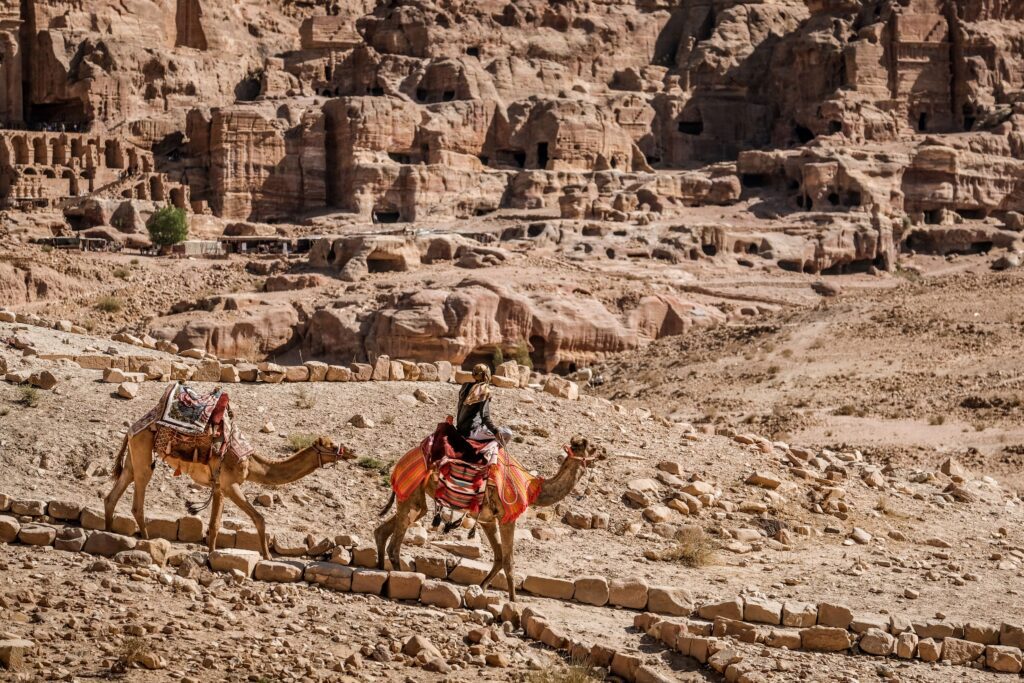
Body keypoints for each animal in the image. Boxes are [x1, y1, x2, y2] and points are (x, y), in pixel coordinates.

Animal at [104, 428, 352, 561]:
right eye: (331, 445)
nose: (350, 450)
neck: (252, 463)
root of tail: (132, 429)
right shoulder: (230, 484)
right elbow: (259, 518)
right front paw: (268, 556)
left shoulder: (218, 487)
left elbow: (214, 524)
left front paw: (212, 553)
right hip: (143, 452)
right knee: (138, 498)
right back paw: (147, 542)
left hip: (133, 457)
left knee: (114, 492)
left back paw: (108, 534)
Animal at [374, 436, 602, 602]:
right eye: (592, 447)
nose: (605, 452)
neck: (532, 490)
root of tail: (401, 461)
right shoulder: (507, 518)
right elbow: (509, 560)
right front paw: (513, 602)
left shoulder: (487, 520)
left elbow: (499, 557)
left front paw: (482, 589)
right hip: (412, 490)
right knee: (395, 544)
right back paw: (402, 579)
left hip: (413, 496)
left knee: (385, 530)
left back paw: (380, 570)